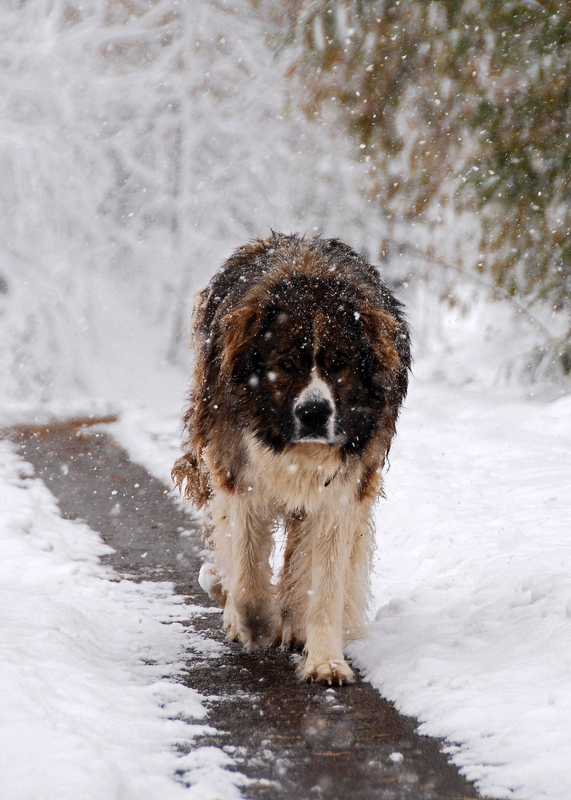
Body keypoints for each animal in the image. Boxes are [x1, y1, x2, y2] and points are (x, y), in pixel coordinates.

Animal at [171, 233, 412, 688]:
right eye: (285, 364)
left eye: (338, 364)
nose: (314, 413)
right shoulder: (241, 475)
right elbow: (247, 577)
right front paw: (256, 623)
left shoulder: (341, 491)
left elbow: (326, 581)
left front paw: (324, 660)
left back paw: (296, 623)